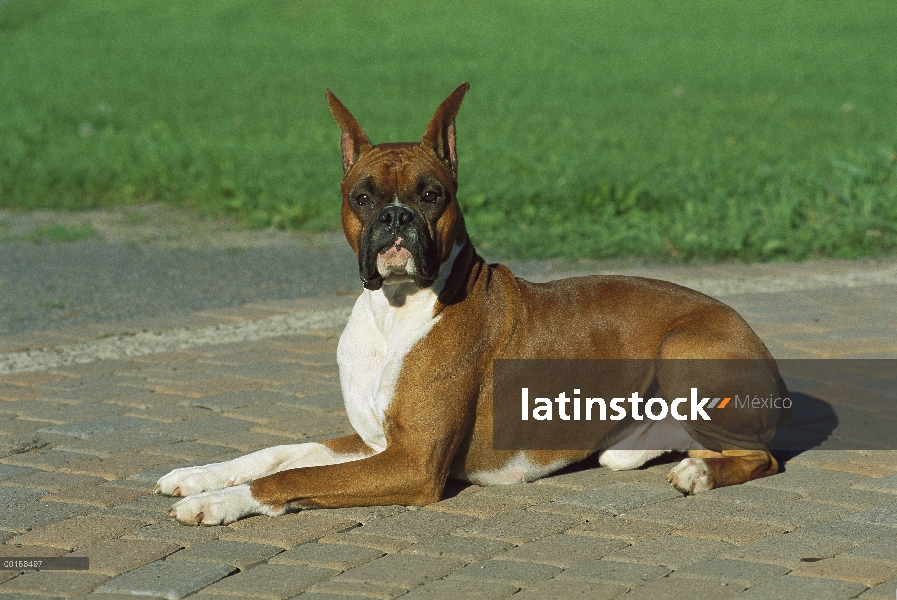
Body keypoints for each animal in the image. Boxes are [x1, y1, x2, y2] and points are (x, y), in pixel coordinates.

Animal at [159, 82, 784, 524]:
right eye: (362, 197)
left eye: (431, 194)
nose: (396, 218)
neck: (394, 312)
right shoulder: (374, 444)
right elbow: (281, 453)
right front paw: (200, 476)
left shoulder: (413, 464)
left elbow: (290, 480)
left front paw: (220, 503)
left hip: (684, 348)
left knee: (763, 457)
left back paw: (696, 475)